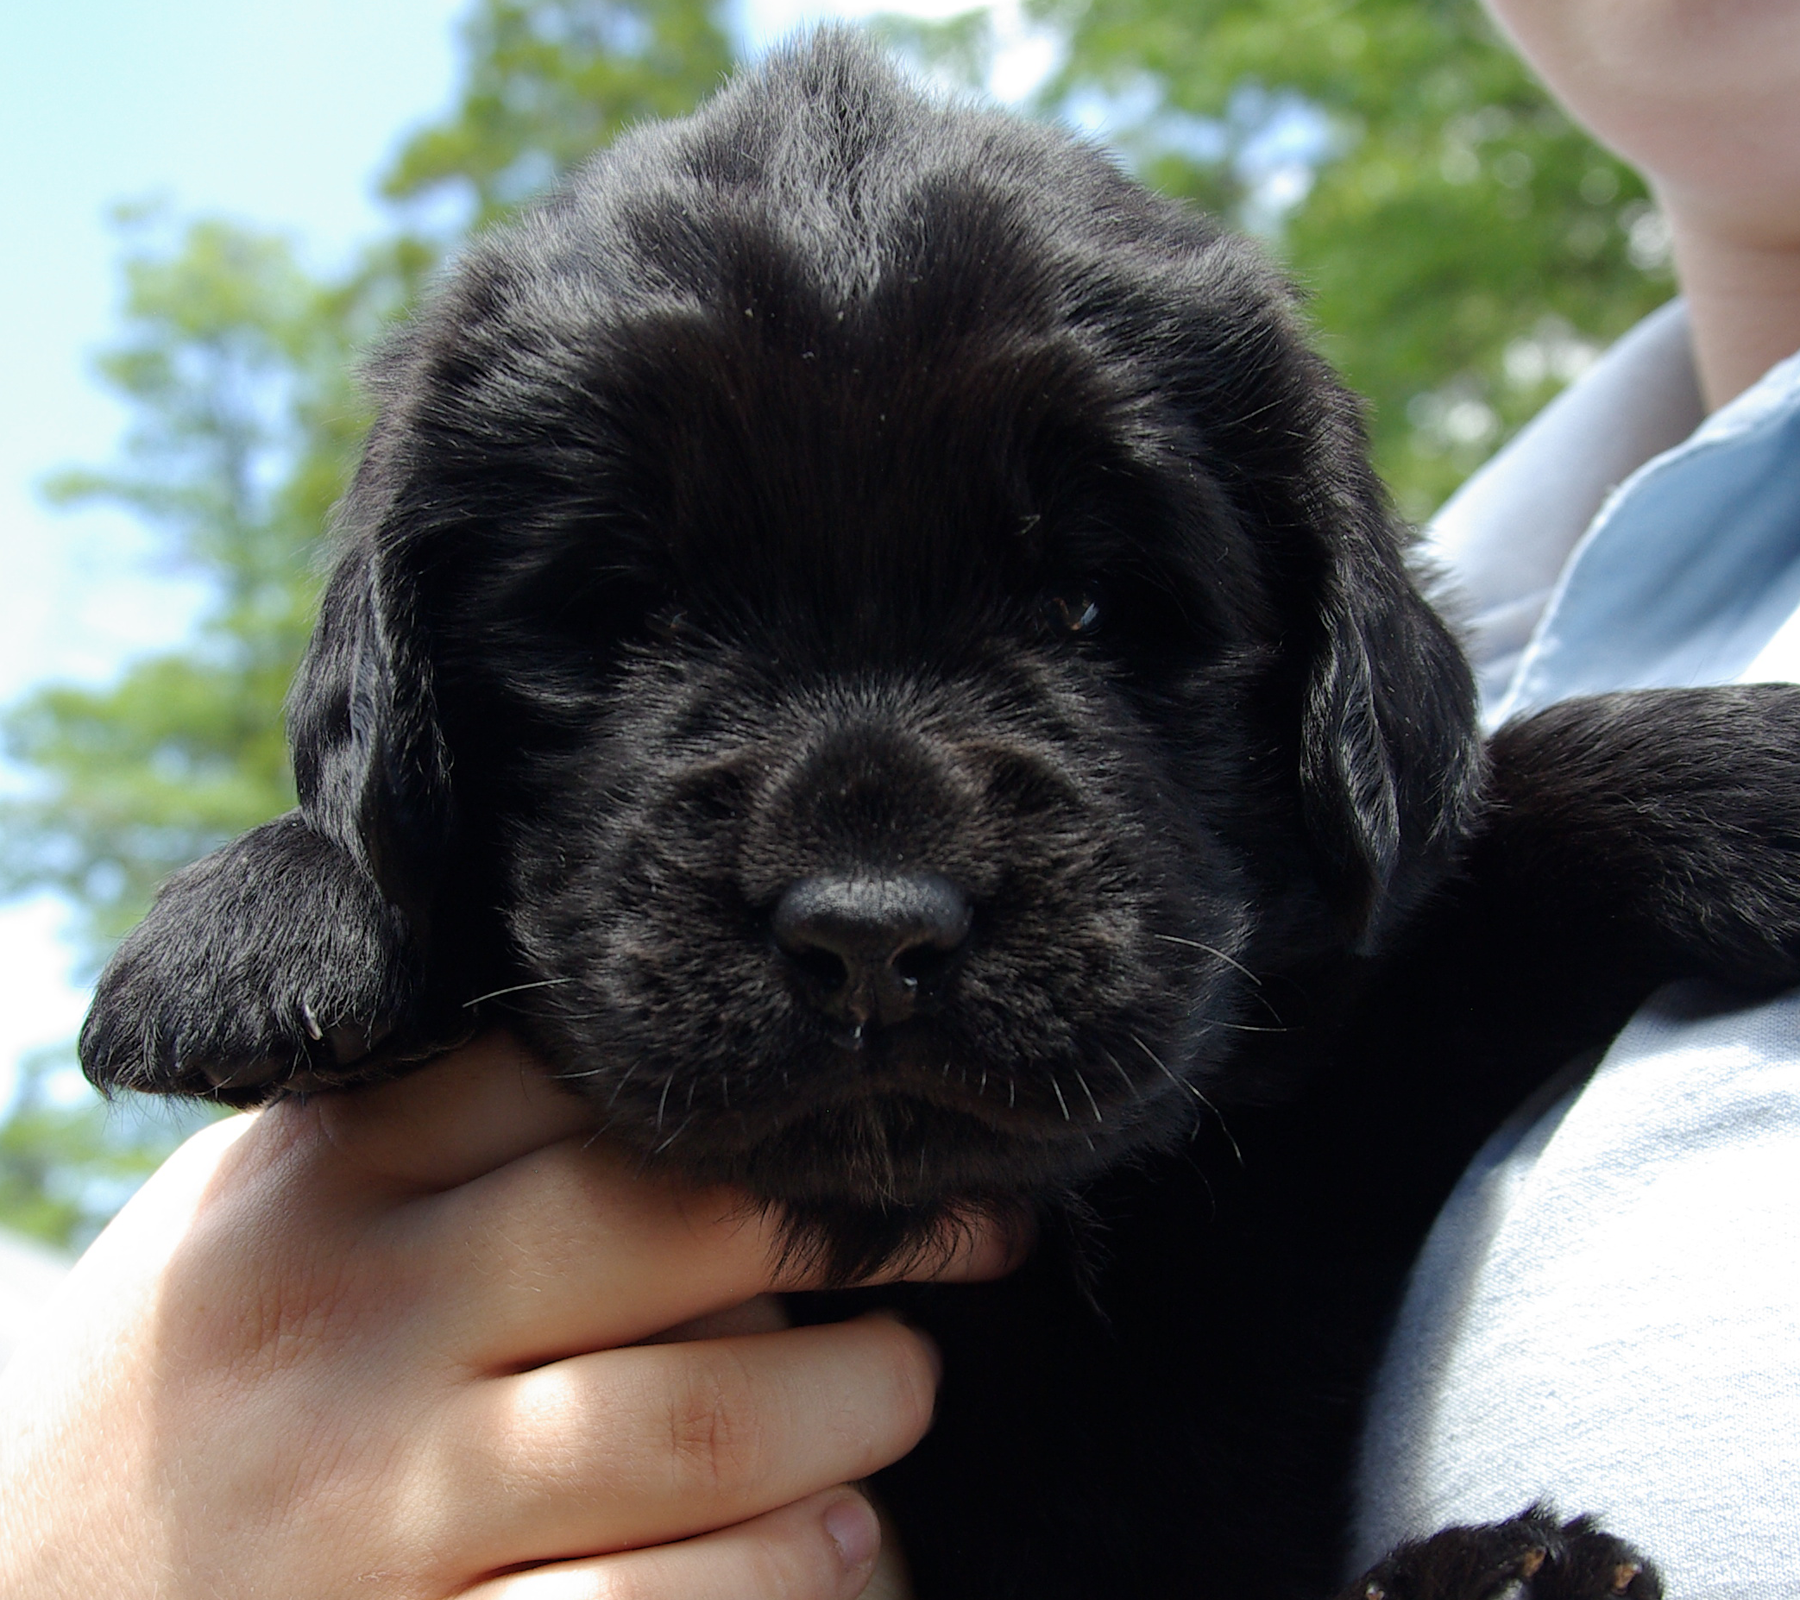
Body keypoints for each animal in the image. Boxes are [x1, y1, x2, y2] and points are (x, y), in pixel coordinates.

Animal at [84, 37, 1800, 1598]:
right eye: (629, 616)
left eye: (1093, 607)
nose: (868, 939)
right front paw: (272, 916)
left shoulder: (1308, 1132)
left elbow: (1504, 844)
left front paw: (1741, 779)